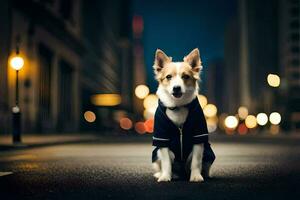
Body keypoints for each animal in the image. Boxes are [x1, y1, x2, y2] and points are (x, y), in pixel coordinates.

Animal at [151, 48, 214, 181]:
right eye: (168, 77)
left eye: (185, 76)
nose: (176, 88)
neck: (178, 106)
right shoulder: (162, 138)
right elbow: (166, 162)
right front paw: (165, 176)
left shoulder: (198, 136)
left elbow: (196, 161)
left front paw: (196, 176)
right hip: (156, 153)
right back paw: (166, 174)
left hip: (208, 152)